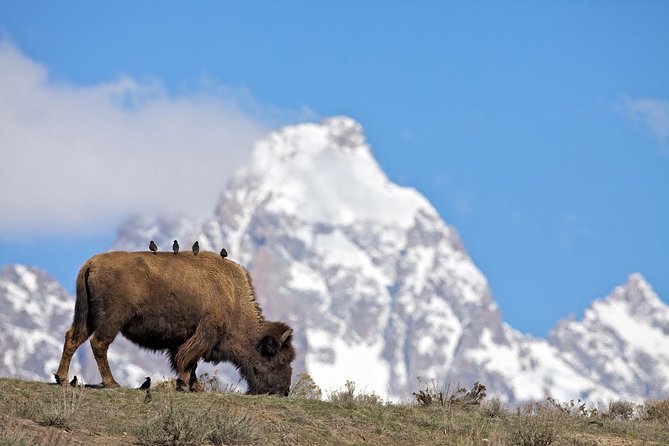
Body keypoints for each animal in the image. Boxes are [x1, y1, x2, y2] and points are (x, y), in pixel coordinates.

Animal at [56, 251, 296, 394]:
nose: (284, 391)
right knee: (99, 344)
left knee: (73, 339)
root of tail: (90, 264)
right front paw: (186, 384)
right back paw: (111, 383)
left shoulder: (187, 337)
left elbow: (190, 361)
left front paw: (195, 386)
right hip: (111, 321)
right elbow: (187, 360)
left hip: (87, 318)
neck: (232, 297)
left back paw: (62, 379)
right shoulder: (204, 334)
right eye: (283, 358)